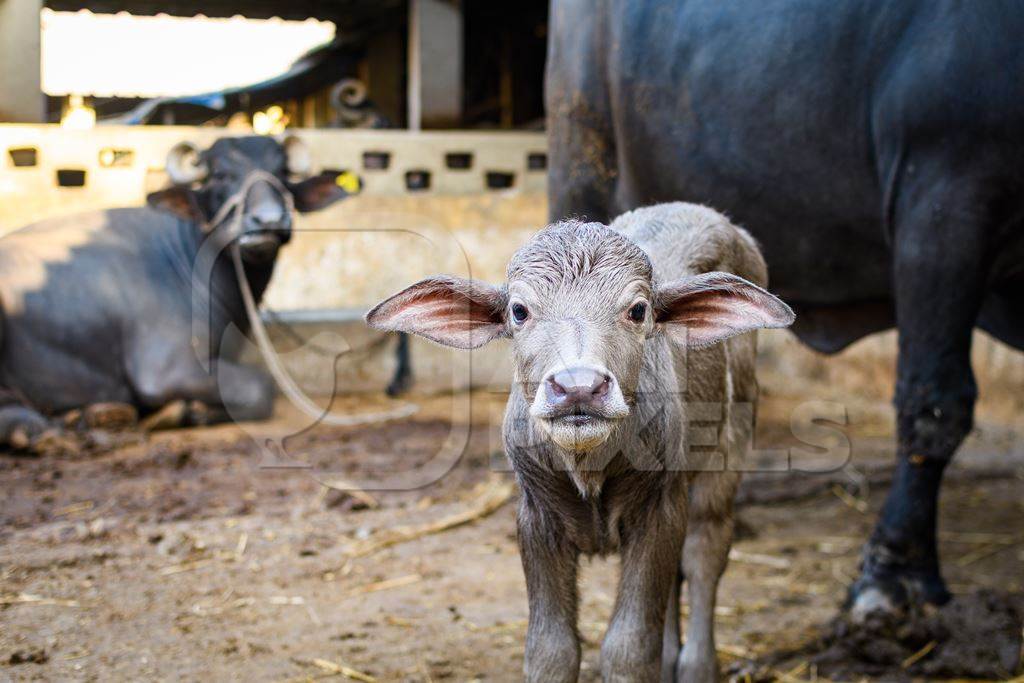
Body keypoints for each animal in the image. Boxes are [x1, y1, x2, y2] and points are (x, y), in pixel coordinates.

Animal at [0, 137, 380, 450]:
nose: (269, 221)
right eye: (221, 175)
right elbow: (261, 387)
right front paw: (185, 410)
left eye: (282, 174)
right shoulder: (167, 369)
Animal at [368, 204, 790, 683]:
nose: (578, 388)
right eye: (519, 311)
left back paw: (697, 665)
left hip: (729, 451)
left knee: (705, 551)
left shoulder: (658, 507)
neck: (588, 464)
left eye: (638, 310)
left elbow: (629, 647)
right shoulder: (536, 516)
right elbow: (551, 649)